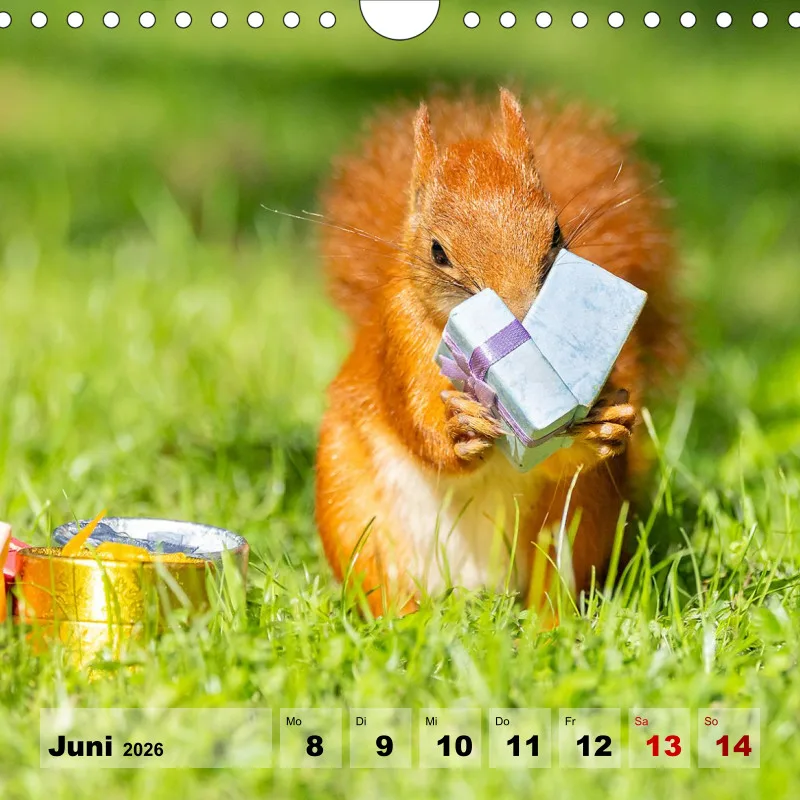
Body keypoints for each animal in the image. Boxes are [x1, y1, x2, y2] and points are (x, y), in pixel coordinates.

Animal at [314, 87, 684, 619]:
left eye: (556, 233)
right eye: (438, 251)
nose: (522, 317)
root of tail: (480, 590)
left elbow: (556, 458)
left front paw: (609, 423)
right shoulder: (396, 339)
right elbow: (416, 422)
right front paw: (459, 428)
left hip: (581, 519)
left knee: (558, 582)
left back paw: (552, 627)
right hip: (349, 504)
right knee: (378, 579)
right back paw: (401, 620)